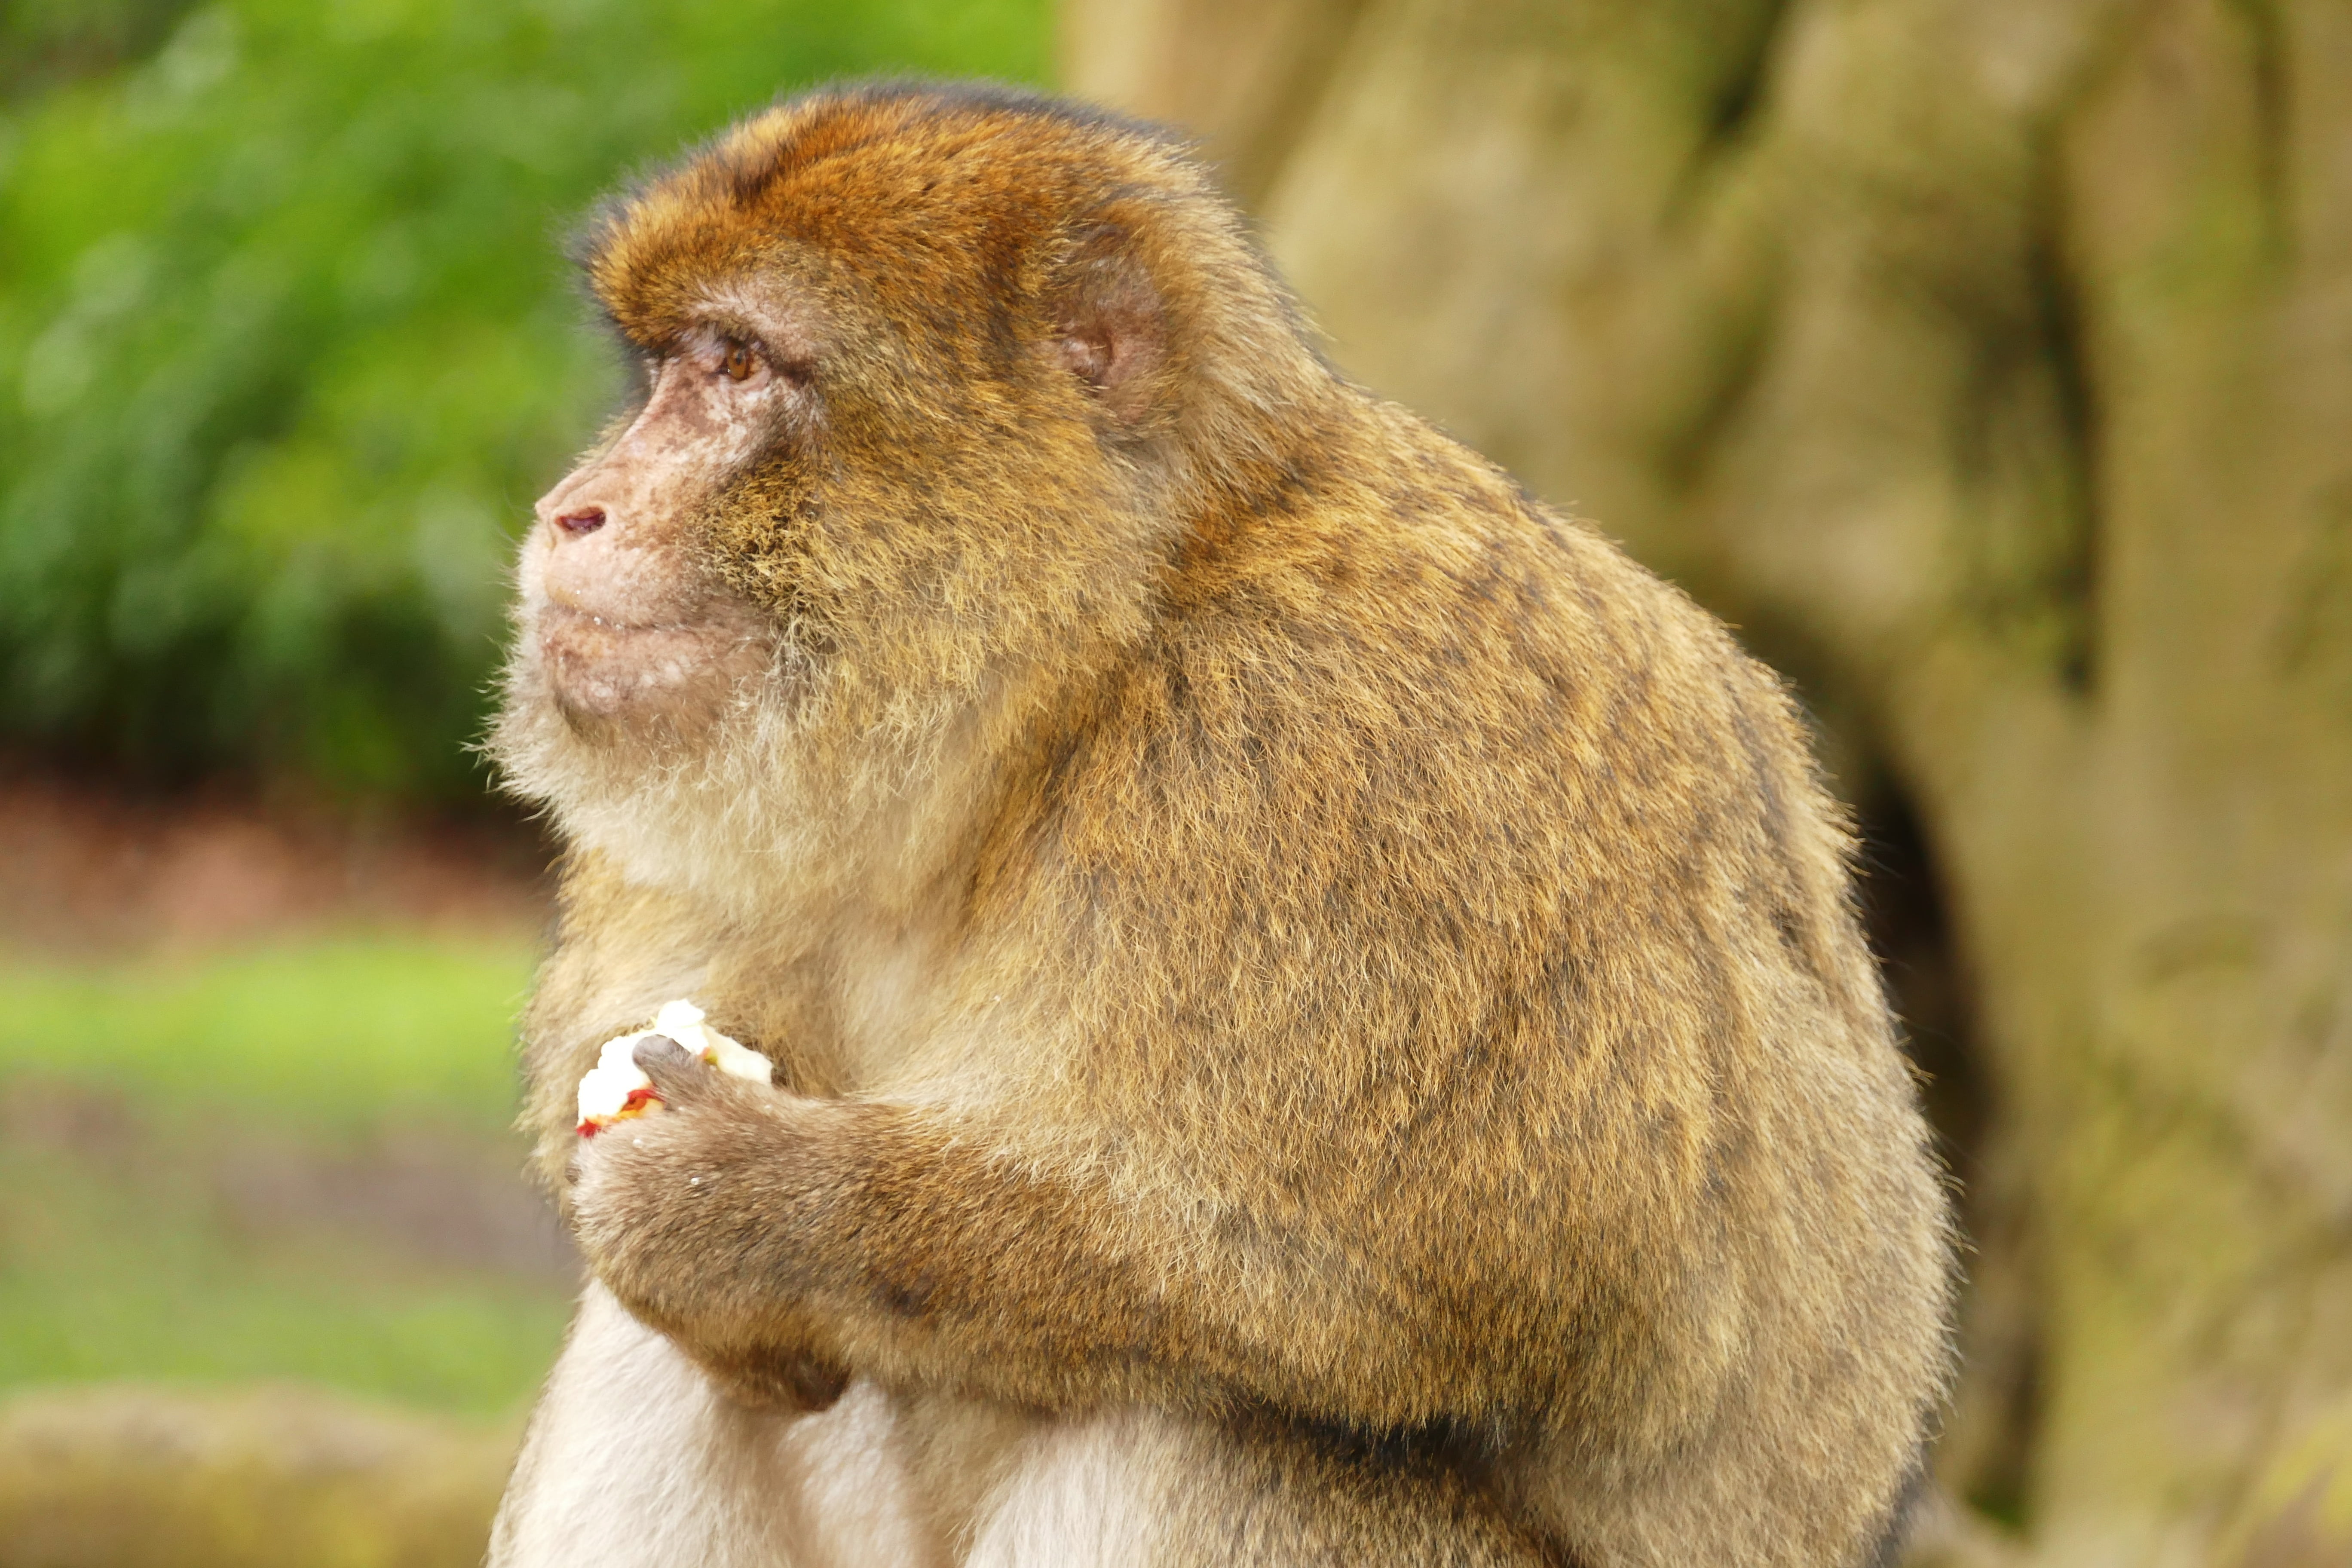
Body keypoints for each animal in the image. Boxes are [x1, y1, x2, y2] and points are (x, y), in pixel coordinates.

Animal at [484, 82, 1952, 1568]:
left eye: (739, 365)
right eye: (667, 366)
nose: (570, 507)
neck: (1081, 690)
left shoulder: (1341, 754)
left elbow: (1383, 1292)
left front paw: (743, 1206)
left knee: (1195, 1428)